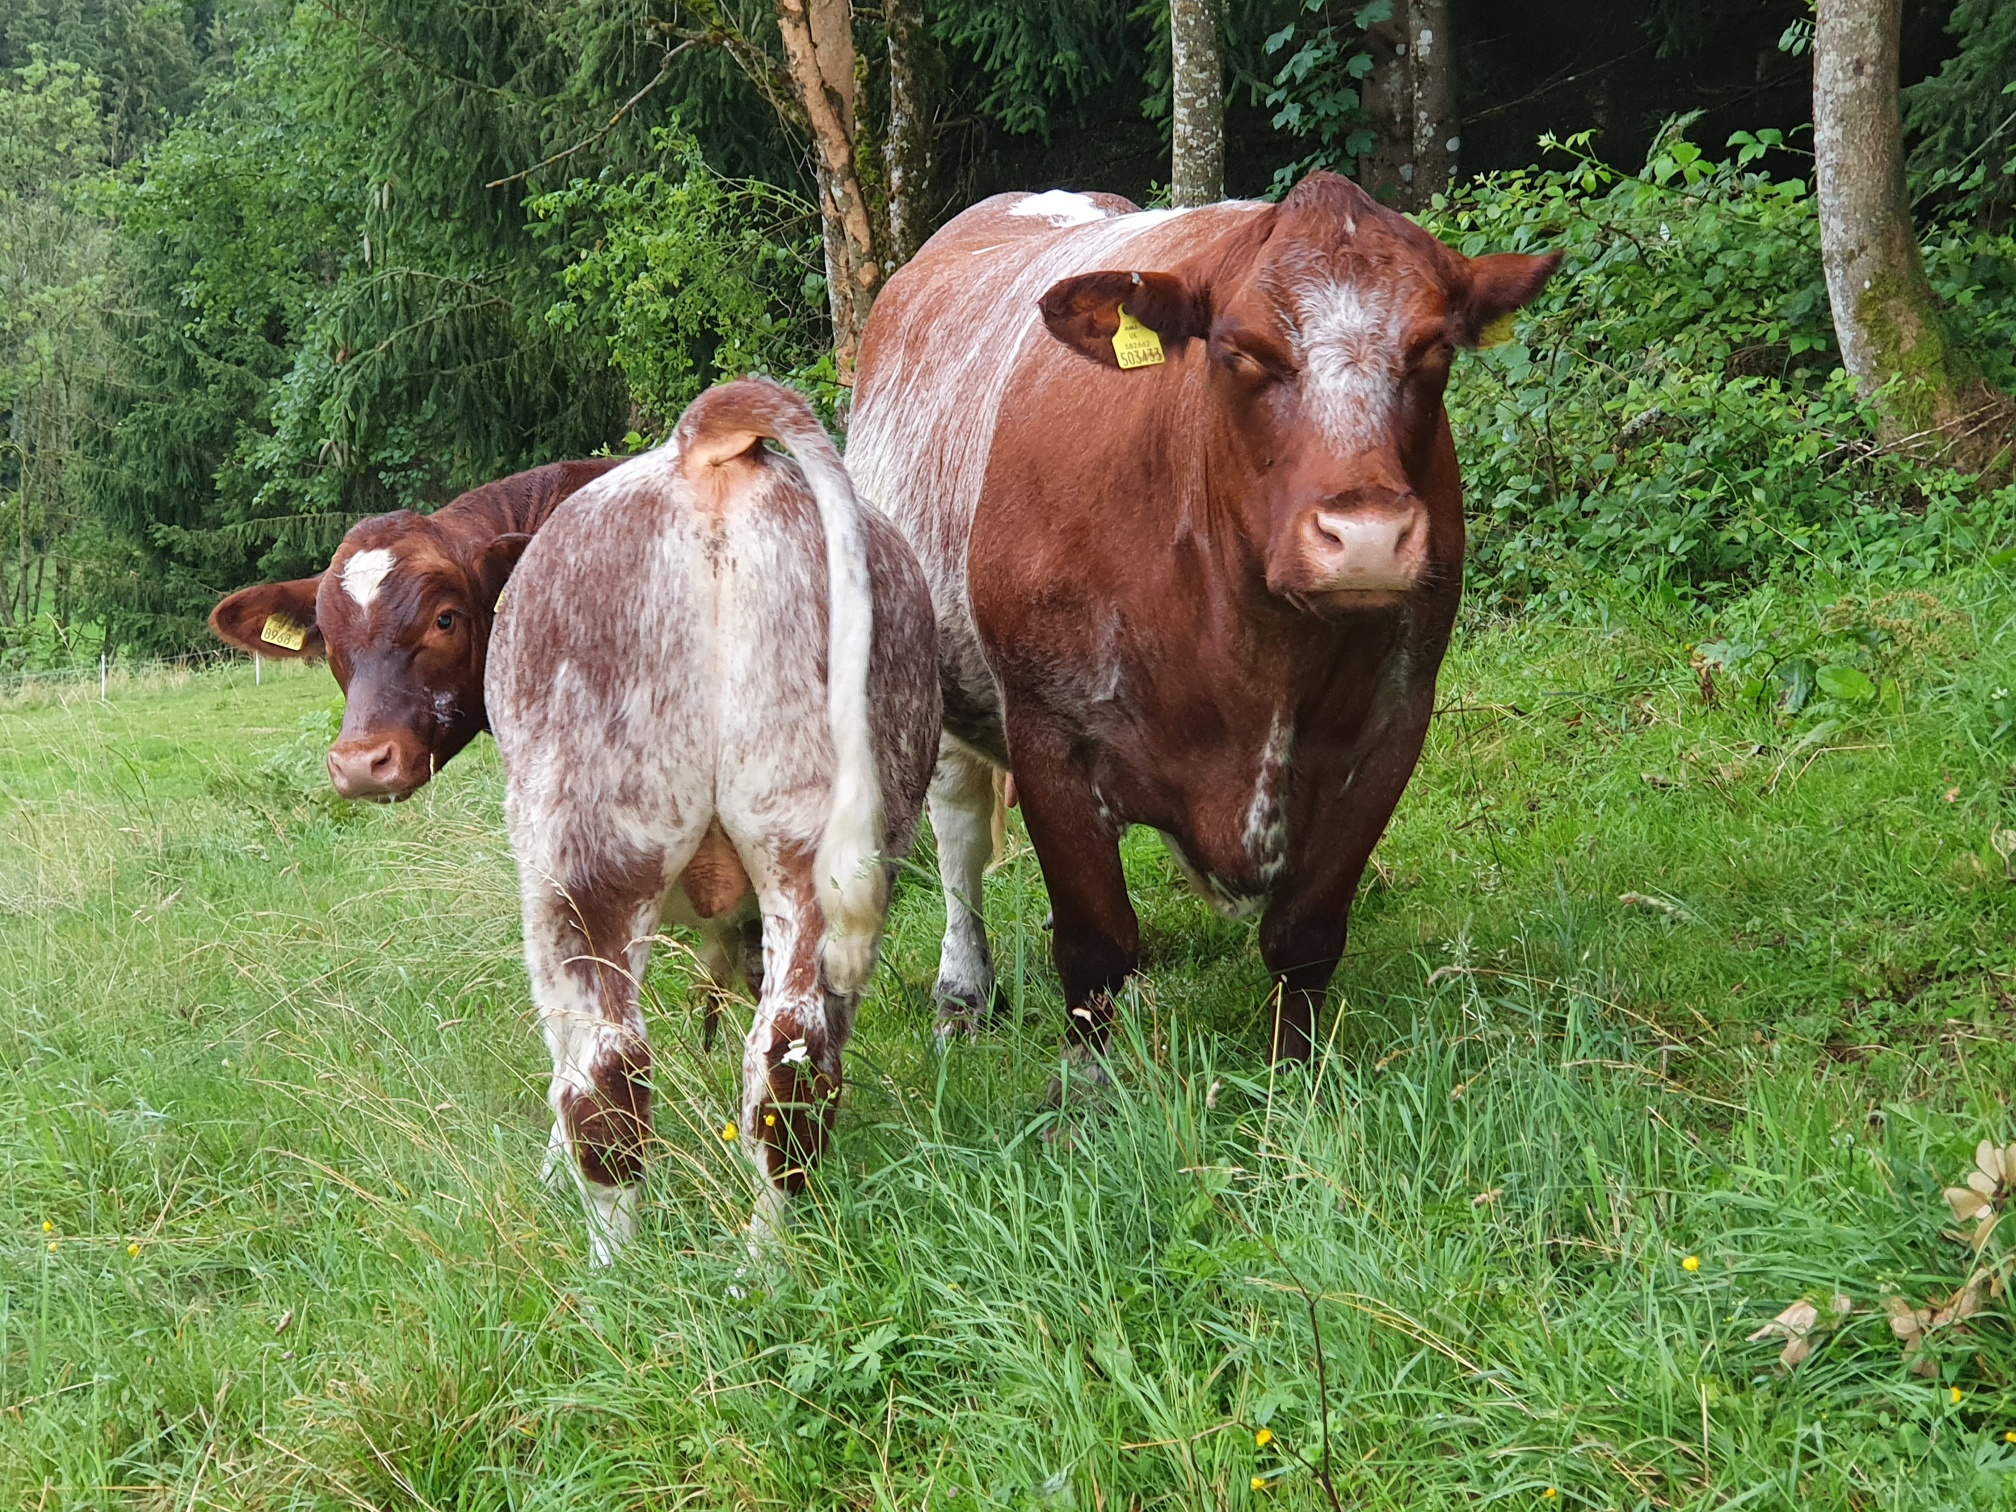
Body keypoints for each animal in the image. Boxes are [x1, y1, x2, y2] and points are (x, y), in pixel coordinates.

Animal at [487, 378, 940, 1262]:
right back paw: (765, 1265)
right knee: (792, 1065)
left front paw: (548, 1174)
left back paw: (613, 1270)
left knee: (607, 1076)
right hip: (811, 843)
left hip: (580, 863)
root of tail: (710, 445)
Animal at [846, 172, 1559, 1069]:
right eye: (1243, 349)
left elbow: (1306, 934)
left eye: (1433, 348)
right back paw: (962, 994)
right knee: (959, 836)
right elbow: (1095, 945)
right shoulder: (1048, 730)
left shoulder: (1393, 725)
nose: (1365, 539)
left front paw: (1296, 1074)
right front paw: (1087, 1085)